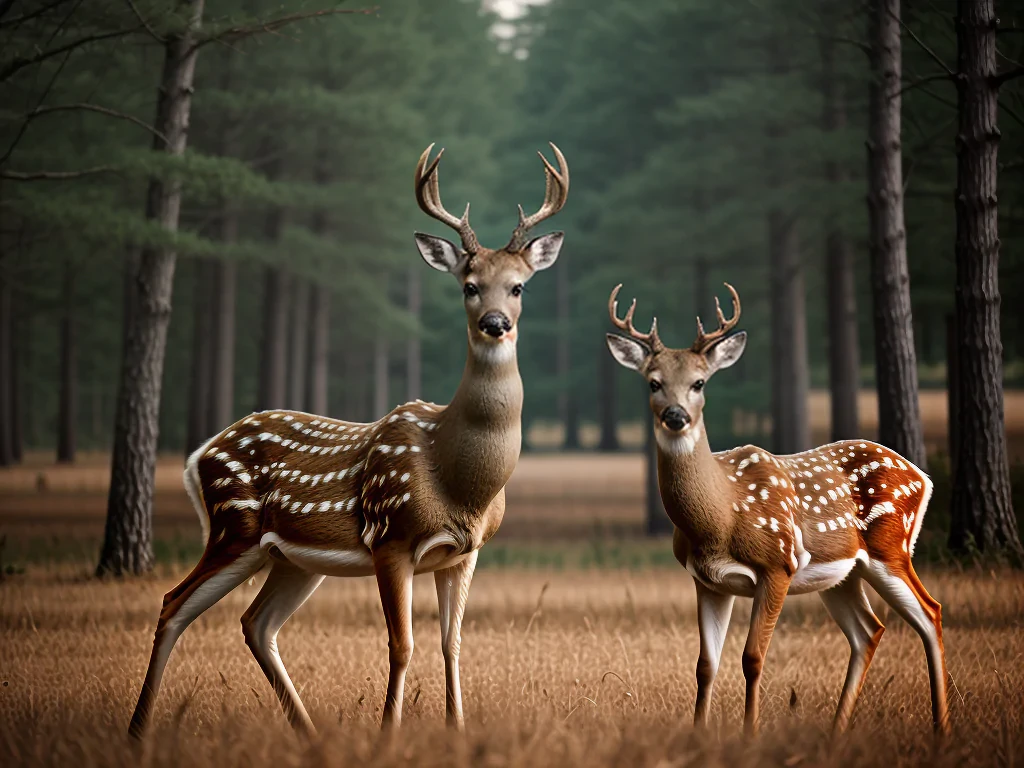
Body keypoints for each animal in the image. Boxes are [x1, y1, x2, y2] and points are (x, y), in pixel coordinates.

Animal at [128, 143, 569, 738]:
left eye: (519, 285)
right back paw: (138, 729)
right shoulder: (390, 537)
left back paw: (307, 731)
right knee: (174, 603)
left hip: (289, 557)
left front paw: (455, 730)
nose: (496, 322)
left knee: (255, 622)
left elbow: (452, 644)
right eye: (468, 285)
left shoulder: (464, 552)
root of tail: (198, 455)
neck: (457, 476)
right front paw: (388, 734)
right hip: (233, 525)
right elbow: (402, 645)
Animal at [605, 283, 948, 737]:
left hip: (890, 547)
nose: (676, 416)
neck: (721, 515)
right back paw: (837, 731)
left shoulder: (777, 565)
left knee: (930, 612)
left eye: (699, 382)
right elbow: (705, 665)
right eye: (653, 383)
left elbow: (752, 658)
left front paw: (750, 734)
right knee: (869, 630)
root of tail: (923, 477)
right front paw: (699, 734)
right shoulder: (707, 581)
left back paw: (942, 729)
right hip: (842, 574)